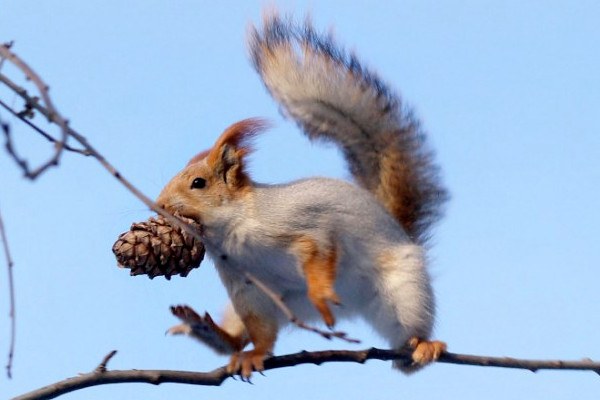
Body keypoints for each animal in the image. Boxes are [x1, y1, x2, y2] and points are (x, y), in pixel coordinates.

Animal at [157, 13, 448, 378]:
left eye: (198, 183)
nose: (160, 205)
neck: (232, 231)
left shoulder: (302, 224)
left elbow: (319, 247)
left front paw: (321, 292)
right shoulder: (245, 286)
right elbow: (261, 331)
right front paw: (255, 354)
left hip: (405, 291)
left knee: (406, 350)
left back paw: (422, 346)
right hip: (277, 304)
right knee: (244, 333)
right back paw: (209, 331)